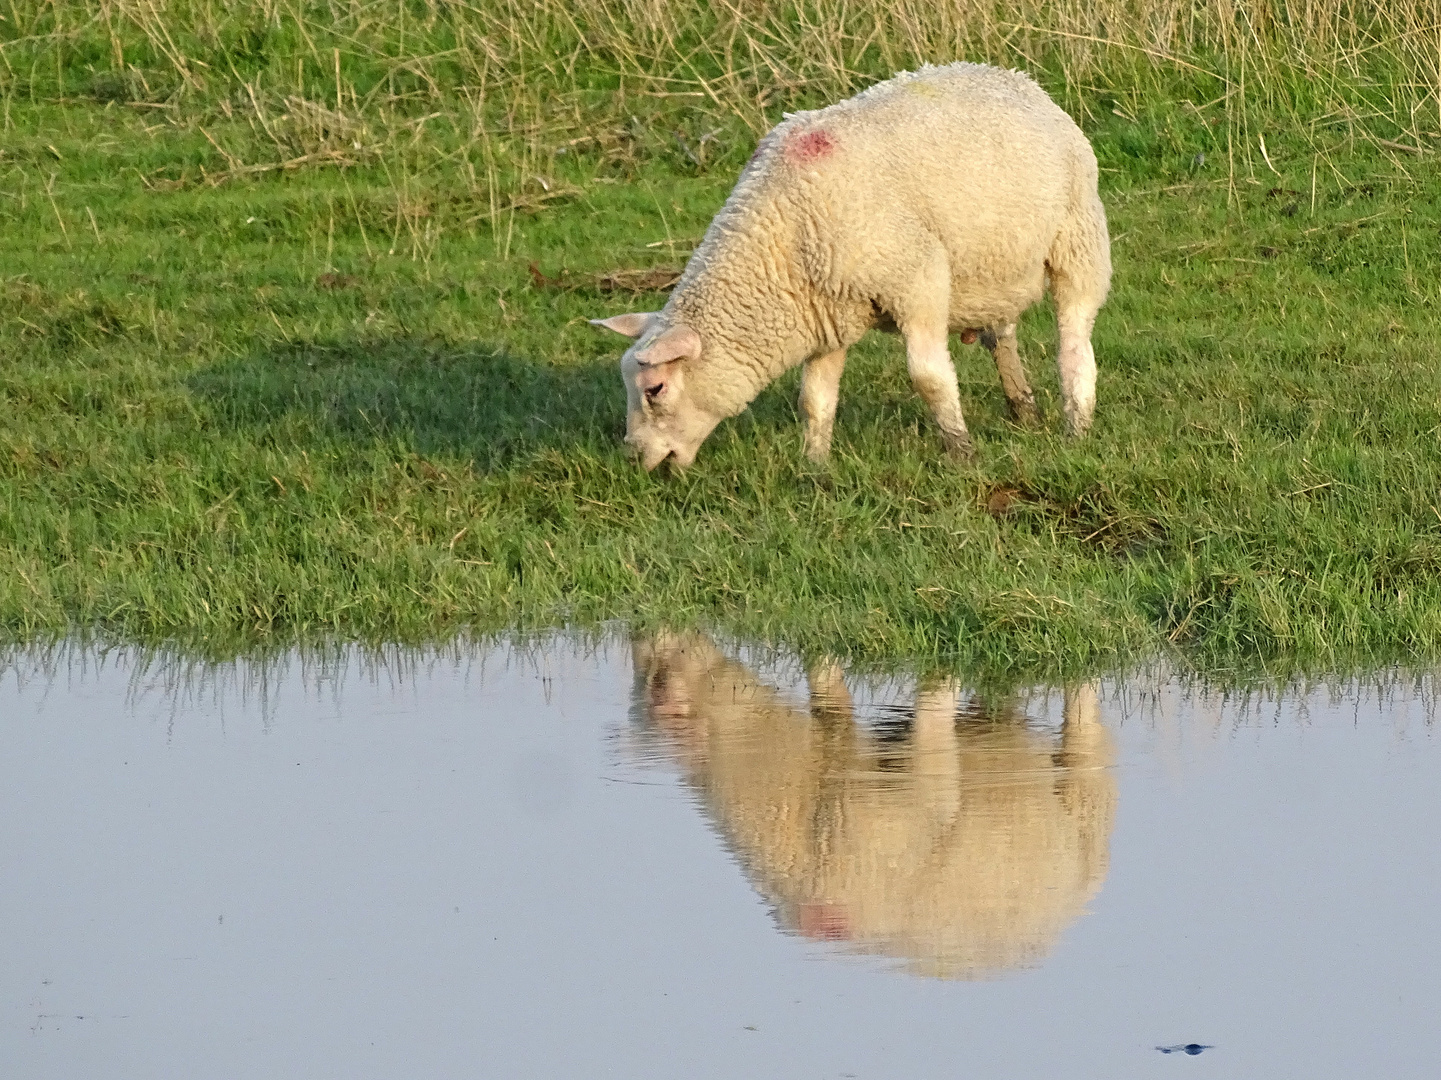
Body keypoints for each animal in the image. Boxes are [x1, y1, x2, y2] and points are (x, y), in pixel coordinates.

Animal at [590, 63, 1106, 467]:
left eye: (654, 389)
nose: (635, 458)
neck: (778, 239)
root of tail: (1018, 79)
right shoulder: (826, 311)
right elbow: (815, 399)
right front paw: (814, 467)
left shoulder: (916, 279)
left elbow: (930, 379)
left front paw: (962, 453)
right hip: (994, 267)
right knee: (1002, 335)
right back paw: (1024, 408)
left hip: (1078, 238)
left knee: (1074, 339)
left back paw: (1077, 424)